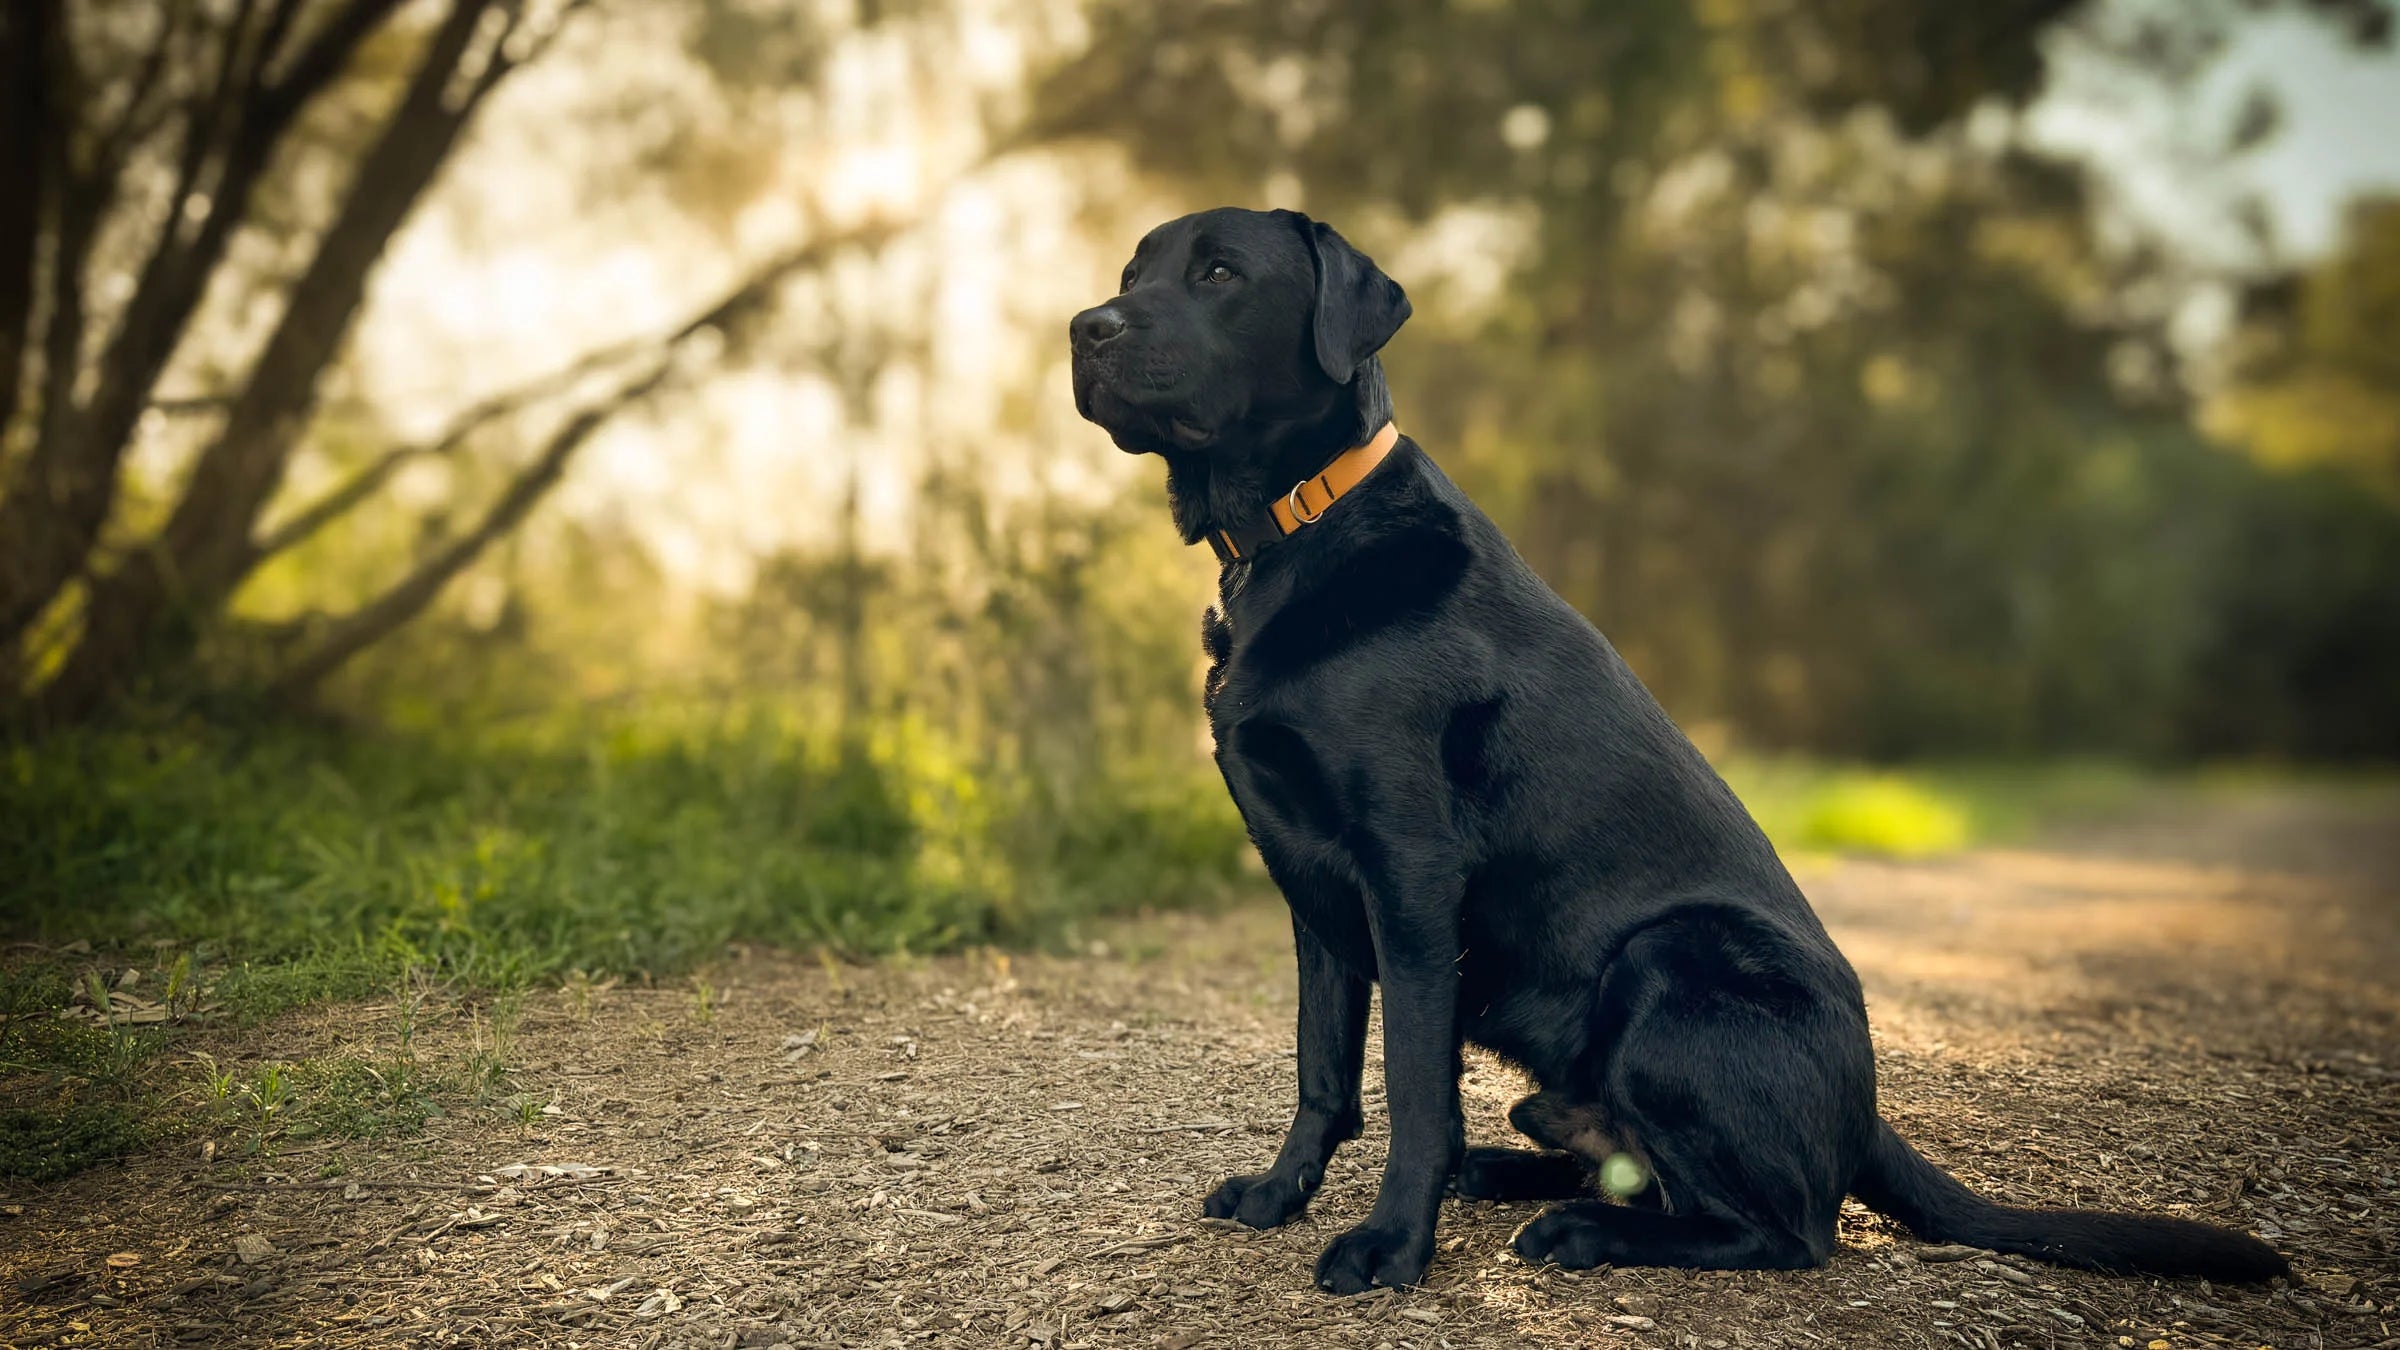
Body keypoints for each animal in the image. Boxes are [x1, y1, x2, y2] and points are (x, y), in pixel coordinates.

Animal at [1070, 205, 2284, 1287]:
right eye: (1133, 270)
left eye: (1220, 273)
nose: (1086, 326)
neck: (1293, 530)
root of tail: (1869, 1113)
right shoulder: (1312, 887)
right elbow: (1320, 1070)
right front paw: (1279, 1196)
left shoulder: (1408, 873)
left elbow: (1414, 1088)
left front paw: (1388, 1249)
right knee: (1640, 1171)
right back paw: (1511, 1180)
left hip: (1669, 960)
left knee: (1786, 1229)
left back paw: (1580, 1232)